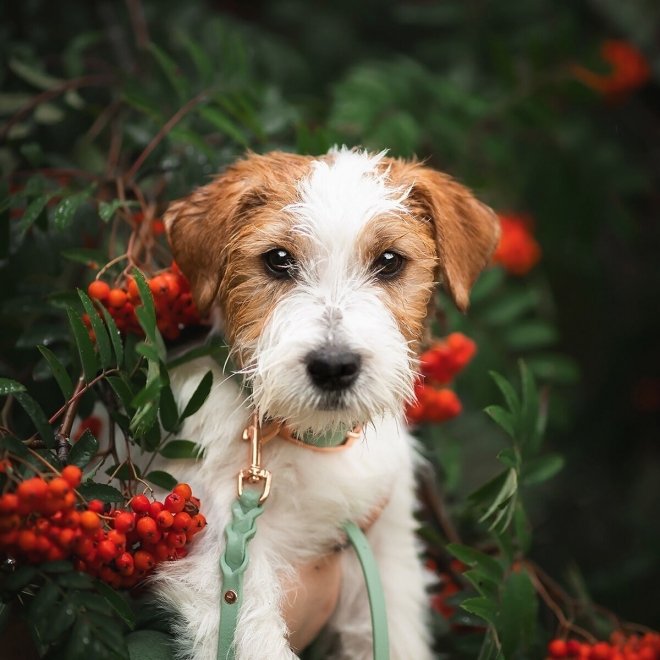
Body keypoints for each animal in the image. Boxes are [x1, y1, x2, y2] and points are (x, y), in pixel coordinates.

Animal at [151, 147, 500, 656]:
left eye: (389, 261)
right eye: (277, 260)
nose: (334, 367)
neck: (314, 442)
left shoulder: (387, 557)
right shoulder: (220, 560)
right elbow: (255, 639)